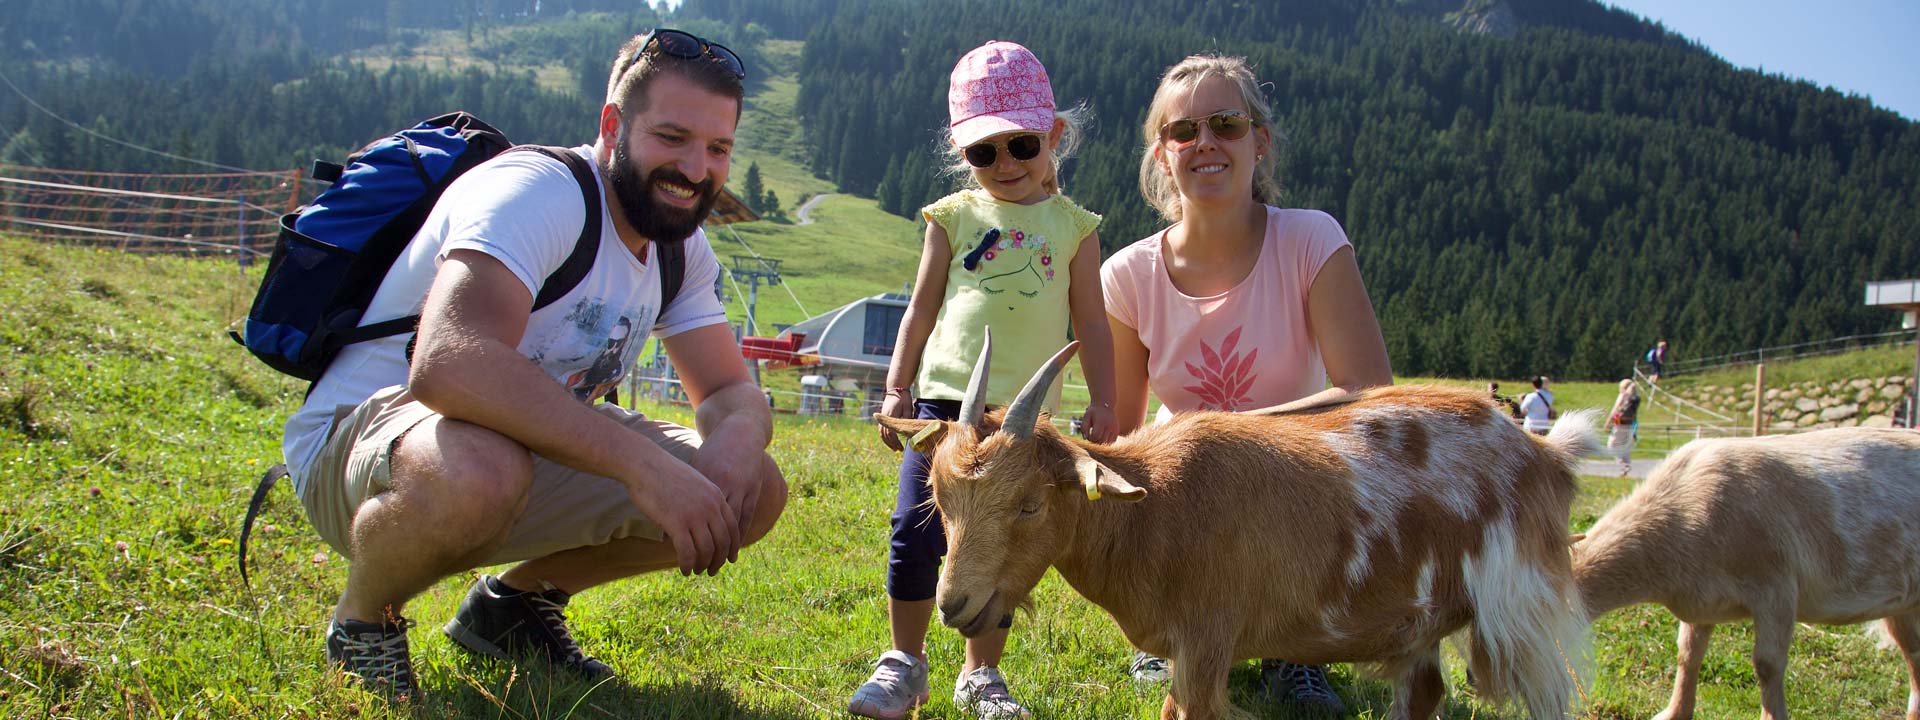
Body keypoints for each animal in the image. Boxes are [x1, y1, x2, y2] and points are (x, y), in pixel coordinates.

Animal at [879, 337, 1597, 720]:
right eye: (941, 497)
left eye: (1030, 504)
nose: (954, 604)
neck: (1155, 508)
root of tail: (1546, 456)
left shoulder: (1208, 639)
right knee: (1424, 693)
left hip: (1523, 613)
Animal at [1566, 428, 1920, 720]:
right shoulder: (1701, 601)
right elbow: (1687, 654)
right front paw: (1675, 712)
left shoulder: (1776, 586)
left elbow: (1767, 664)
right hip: (1904, 606)